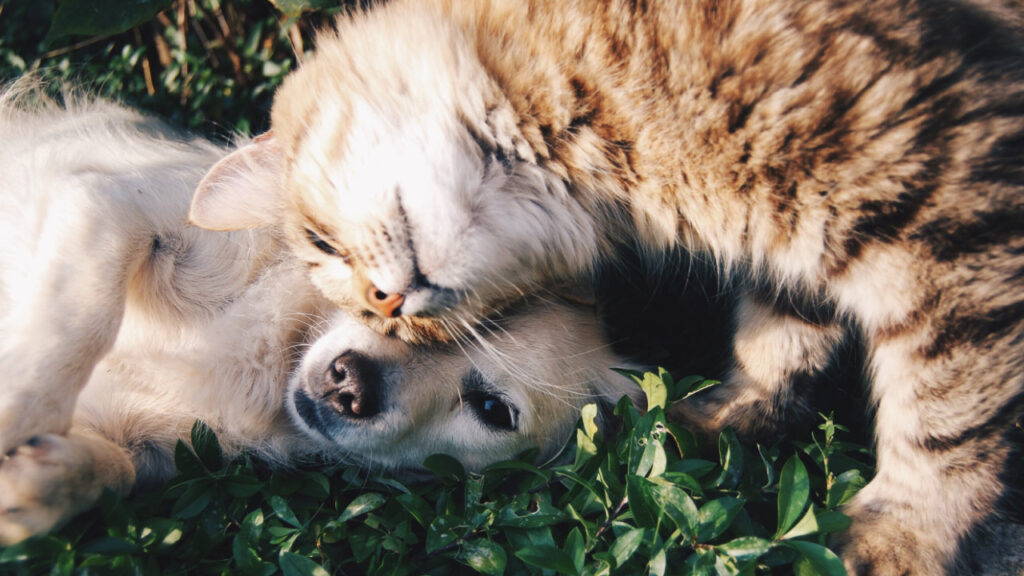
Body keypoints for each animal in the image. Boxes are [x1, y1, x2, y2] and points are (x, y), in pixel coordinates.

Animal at [0, 83, 638, 541]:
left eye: (491, 410)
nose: (349, 384)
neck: (275, 355)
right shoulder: (107, 204)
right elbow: (76, 322)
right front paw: (16, 411)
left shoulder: (154, 450)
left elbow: (115, 470)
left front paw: (38, 483)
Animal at [188, 1, 1019, 569]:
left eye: (325, 246)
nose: (390, 305)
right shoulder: (801, 242)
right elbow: (779, 340)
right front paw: (729, 416)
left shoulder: (946, 209)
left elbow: (944, 414)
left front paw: (903, 534)